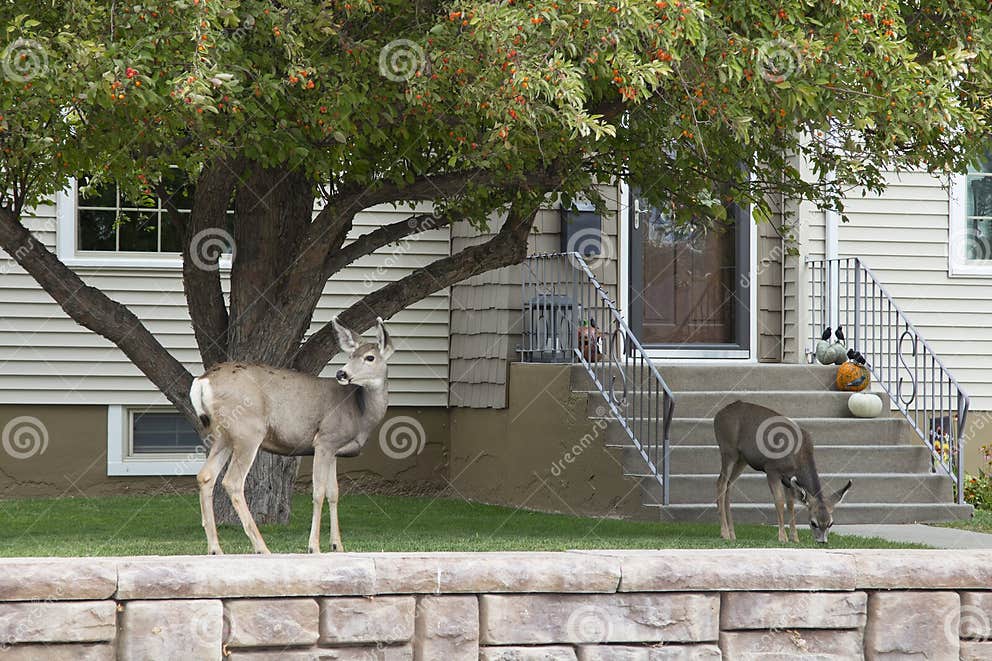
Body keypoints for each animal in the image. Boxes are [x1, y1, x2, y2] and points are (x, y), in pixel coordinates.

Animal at [188, 318, 394, 556]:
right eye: (351, 355)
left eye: (369, 357)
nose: (341, 373)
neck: (359, 410)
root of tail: (203, 380)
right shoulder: (324, 440)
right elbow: (318, 492)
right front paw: (314, 546)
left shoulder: (334, 449)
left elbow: (334, 492)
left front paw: (338, 546)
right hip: (248, 430)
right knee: (232, 481)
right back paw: (261, 548)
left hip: (224, 435)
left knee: (206, 475)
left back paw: (215, 549)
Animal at [712, 400, 852, 544]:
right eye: (813, 523)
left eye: (831, 523)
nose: (822, 541)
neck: (799, 457)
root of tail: (719, 414)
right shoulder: (772, 469)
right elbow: (779, 501)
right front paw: (782, 537)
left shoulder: (788, 479)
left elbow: (791, 504)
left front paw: (795, 538)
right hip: (728, 450)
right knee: (721, 483)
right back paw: (724, 533)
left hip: (742, 459)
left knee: (729, 485)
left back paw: (732, 534)